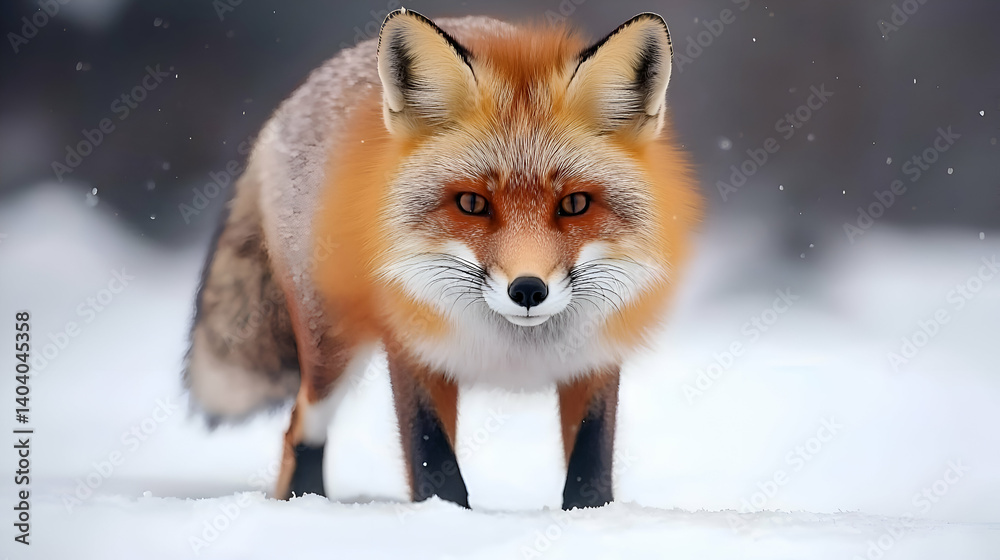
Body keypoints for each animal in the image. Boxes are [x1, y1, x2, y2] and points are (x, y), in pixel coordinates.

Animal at [185, 8, 700, 510]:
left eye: (574, 204)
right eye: (472, 203)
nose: (528, 290)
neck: (515, 350)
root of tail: (289, 106)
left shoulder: (596, 356)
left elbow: (590, 468)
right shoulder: (413, 348)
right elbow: (434, 461)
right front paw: (445, 519)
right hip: (332, 349)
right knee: (299, 428)